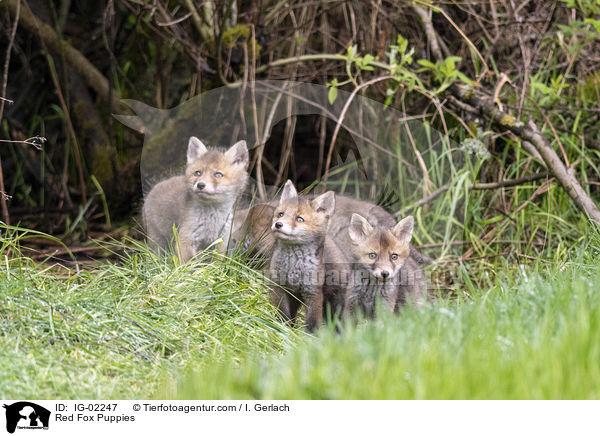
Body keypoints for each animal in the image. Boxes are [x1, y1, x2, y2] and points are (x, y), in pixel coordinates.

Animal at [268, 179, 346, 332]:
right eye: (281, 214)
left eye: (299, 219)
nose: (278, 224)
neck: (294, 267)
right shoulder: (279, 287)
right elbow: (282, 315)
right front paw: (282, 330)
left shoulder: (313, 293)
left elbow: (312, 323)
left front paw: (310, 337)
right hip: (295, 299)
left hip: (335, 304)